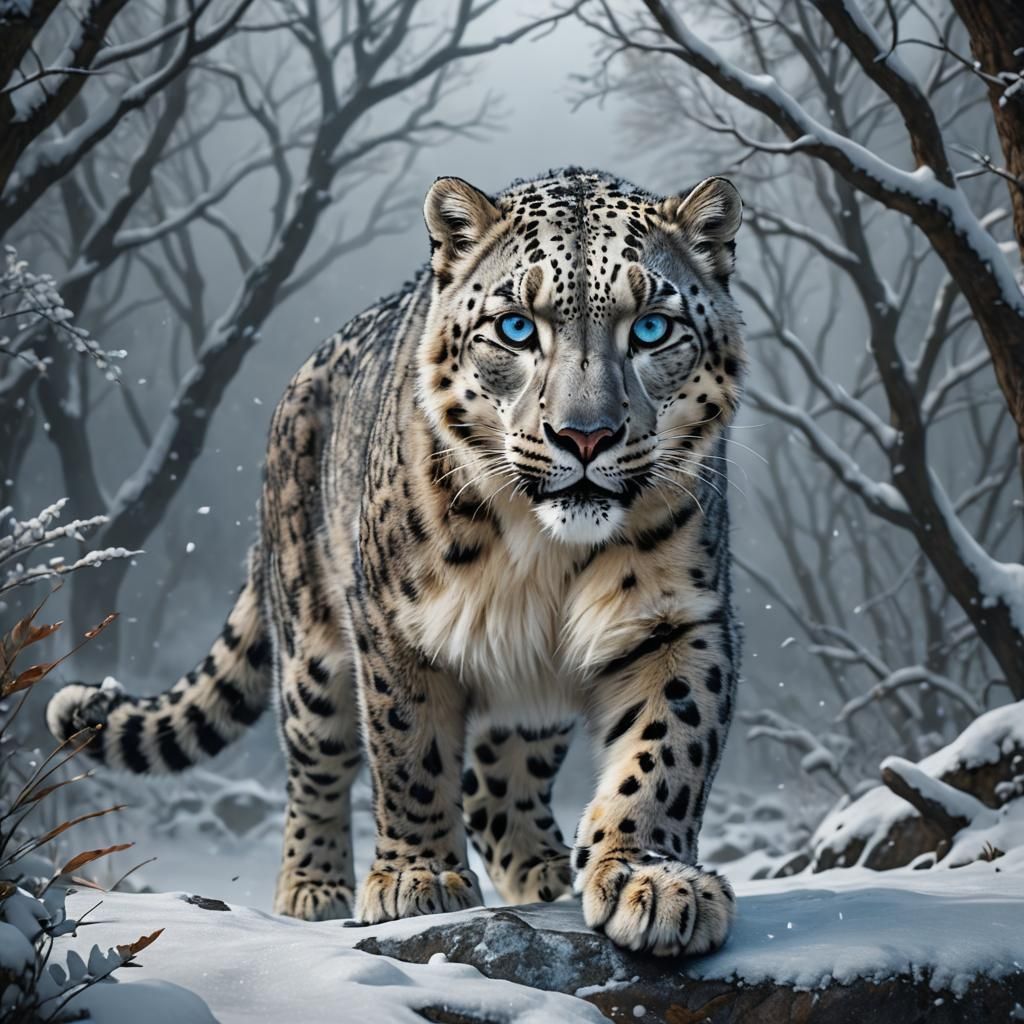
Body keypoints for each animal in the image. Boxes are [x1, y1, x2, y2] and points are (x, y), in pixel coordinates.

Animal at [47, 167, 745, 957]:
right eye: (516, 327)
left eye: (651, 327)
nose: (584, 436)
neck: (548, 557)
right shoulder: (394, 622)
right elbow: (409, 749)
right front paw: (419, 878)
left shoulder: (678, 619)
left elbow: (667, 749)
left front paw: (651, 880)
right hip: (311, 647)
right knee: (315, 760)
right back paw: (313, 890)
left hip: (531, 695)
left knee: (499, 775)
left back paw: (542, 870)